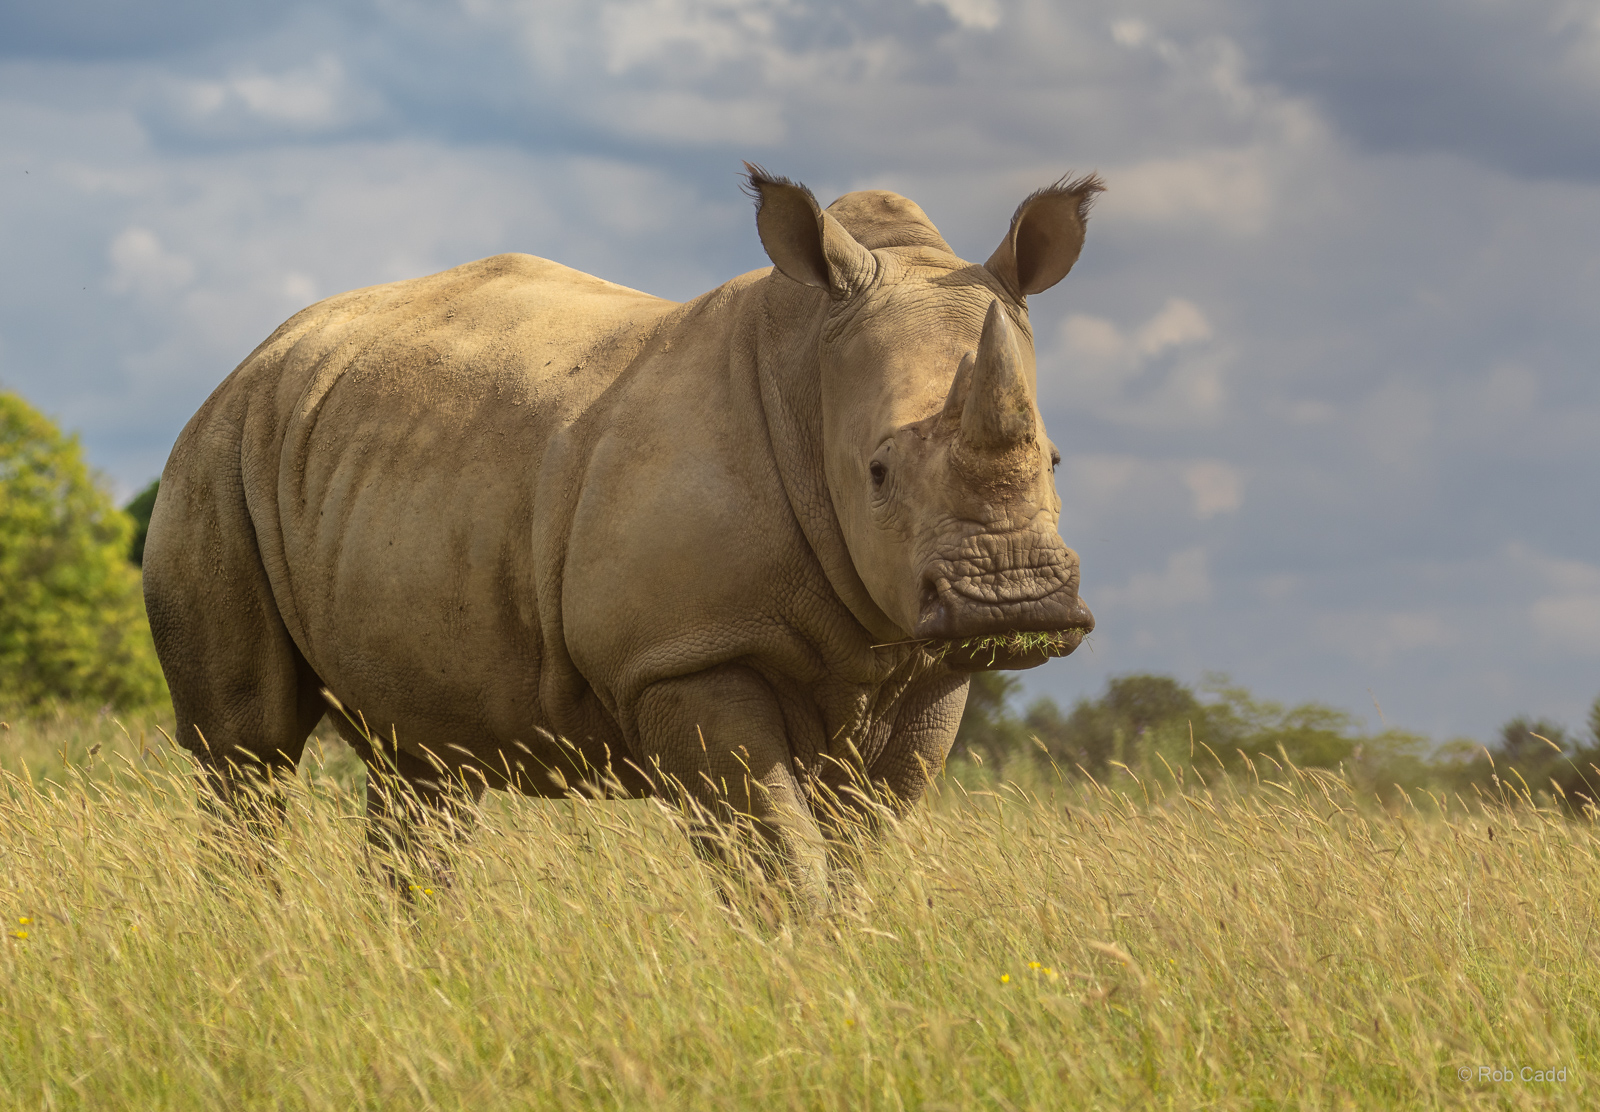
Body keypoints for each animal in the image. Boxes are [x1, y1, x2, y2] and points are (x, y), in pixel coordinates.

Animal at [143, 166, 1099, 901]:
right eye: (877, 472)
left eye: (1054, 460)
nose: (1015, 599)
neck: (810, 380)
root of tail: (259, 353)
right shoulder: (684, 654)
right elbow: (778, 859)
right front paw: (800, 983)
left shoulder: (924, 662)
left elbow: (857, 850)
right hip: (218, 455)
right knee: (248, 752)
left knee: (422, 763)